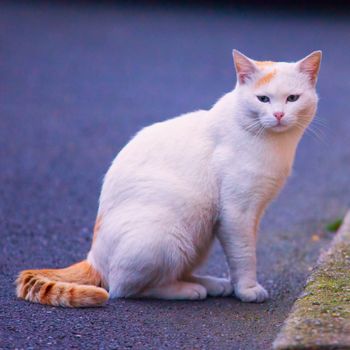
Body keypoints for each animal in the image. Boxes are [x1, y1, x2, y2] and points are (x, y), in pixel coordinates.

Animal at [17, 49, 322, 306]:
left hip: (200, 235)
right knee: (125, 288)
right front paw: (247, 289)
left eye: (292, 98)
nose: (279, 114)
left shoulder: (250, 213)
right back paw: (189, 291)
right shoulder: (237, 213)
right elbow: (245, 254)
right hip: (169, 235)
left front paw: (237, 286)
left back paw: (211, 284)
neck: (274, 144)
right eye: (263, 99)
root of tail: (93, 258)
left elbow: (243, 252)